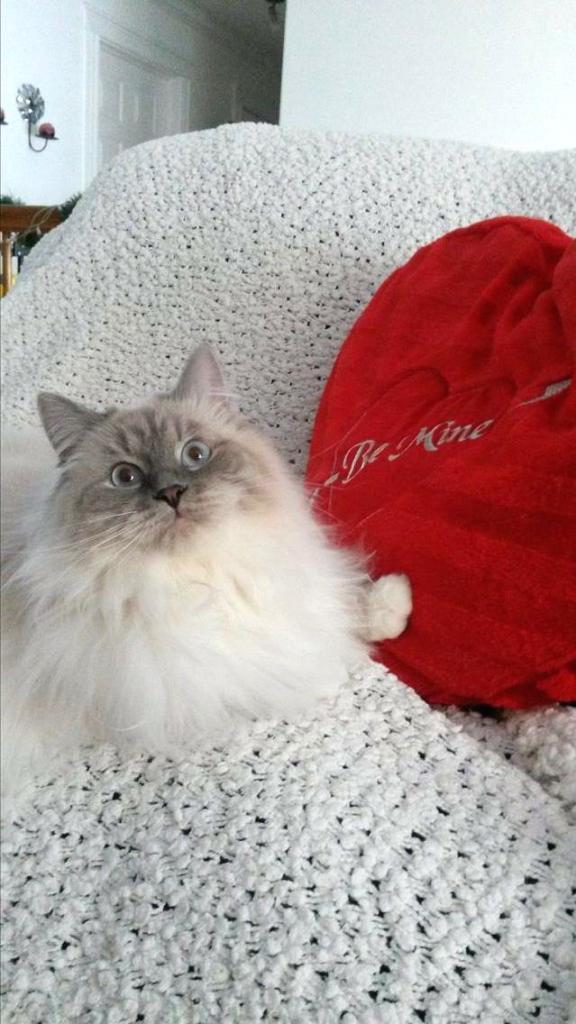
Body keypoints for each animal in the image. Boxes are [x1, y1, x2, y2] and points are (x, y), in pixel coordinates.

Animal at [0, 345, 411, 801]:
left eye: (194, 455)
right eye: (125, 477)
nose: (171, 493)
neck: (204, 575)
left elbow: (337, 608)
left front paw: (394, 604)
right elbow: (296, 664)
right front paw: (335, 668)